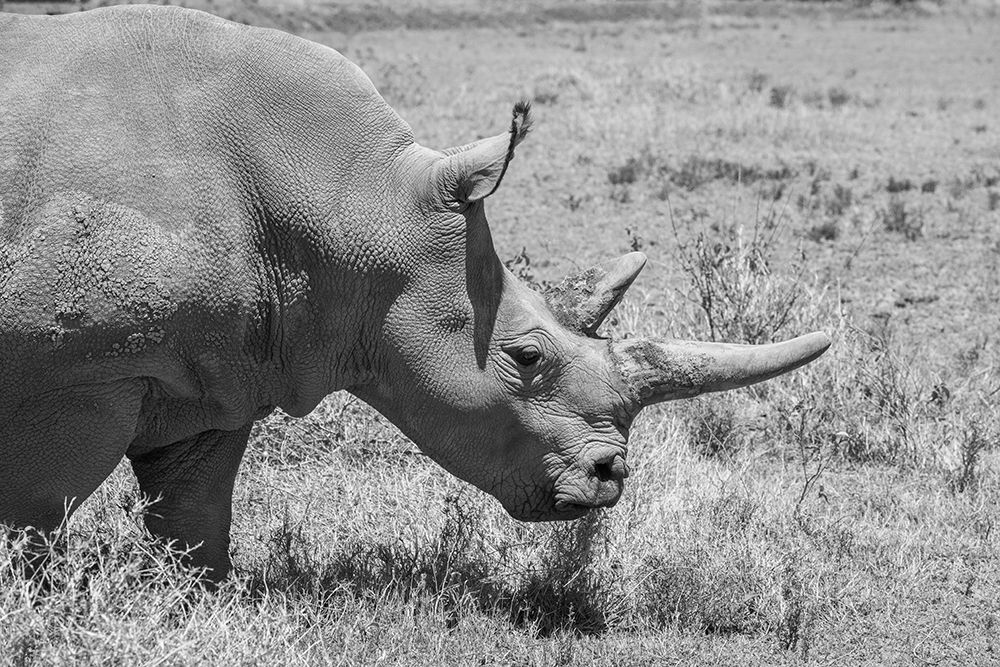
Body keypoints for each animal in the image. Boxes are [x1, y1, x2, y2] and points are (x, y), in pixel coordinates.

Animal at [0, 5, 830, 579]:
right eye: (528, 357)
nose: (610, 477)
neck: (352, 201)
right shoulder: (76, 376)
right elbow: (34, 516)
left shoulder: (221, 371)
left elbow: (194, 518)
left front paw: (196, 603)